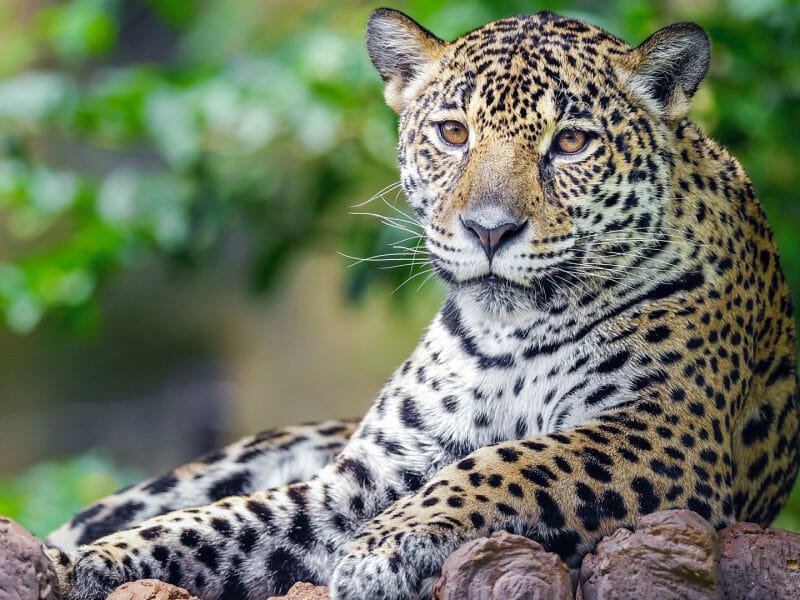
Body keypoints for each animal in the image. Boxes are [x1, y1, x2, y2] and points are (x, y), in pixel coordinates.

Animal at [39, 8, 798, 600]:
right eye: (453, 133)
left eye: (572, 143)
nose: (489, 229)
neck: (510, 330)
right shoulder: (359, 480)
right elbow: (229, 520)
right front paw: (84, 564)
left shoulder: (662, 432)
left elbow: (510, 461)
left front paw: (382, 548)